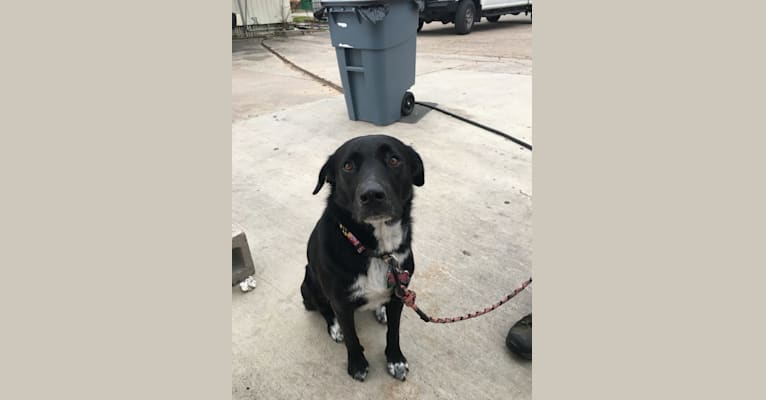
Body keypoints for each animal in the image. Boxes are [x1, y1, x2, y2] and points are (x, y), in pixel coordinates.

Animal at [302, 135, 426, 382]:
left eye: (394, 160)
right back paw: (335, 328)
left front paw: (395, 360)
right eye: (347, 166)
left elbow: (394, 332)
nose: (372, 195)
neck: (378, 252)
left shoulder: (399, 297)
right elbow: (352, 337)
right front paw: (357, 364)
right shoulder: (340, 302)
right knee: (323, 308)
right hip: (309, 285)